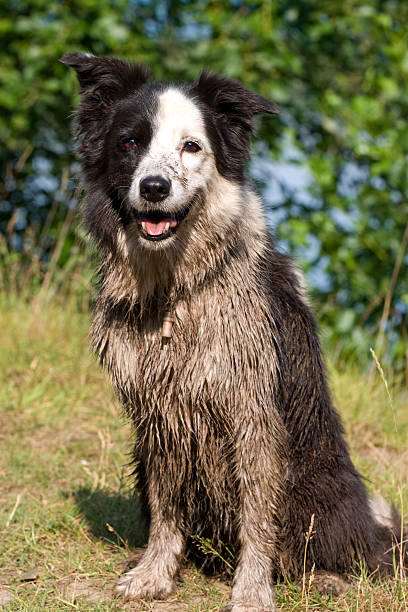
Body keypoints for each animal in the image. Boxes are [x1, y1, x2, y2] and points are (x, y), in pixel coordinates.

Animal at [61, 53, 404, 612]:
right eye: (130, 142)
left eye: (192, 146)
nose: (153, 187)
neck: (177, 290)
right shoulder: (160, 412)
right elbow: (167, 506)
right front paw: (154, 574)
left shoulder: (253, 410)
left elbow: (259, 516)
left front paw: (251, 592)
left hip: (322, 487)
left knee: (355, 554)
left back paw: (330, 577)